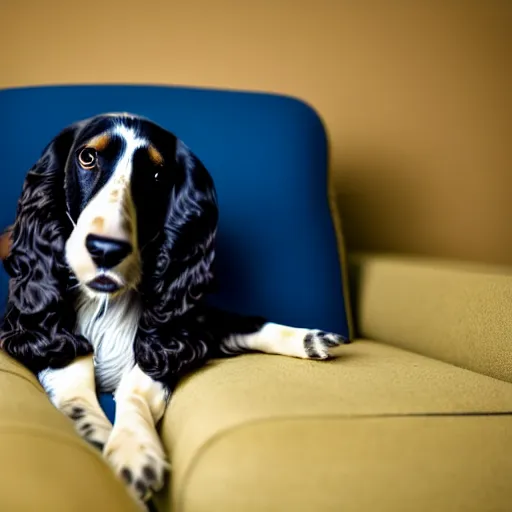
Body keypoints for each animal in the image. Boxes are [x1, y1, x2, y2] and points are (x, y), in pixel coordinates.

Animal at [0, 113, 348, 504]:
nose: (106, 249)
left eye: (156, 174)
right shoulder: (51, 341)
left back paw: (312, 340)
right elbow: (77, 389)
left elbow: (135, 387)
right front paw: (104, 441)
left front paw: (133, 450)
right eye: (87, 157)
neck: (107, 302)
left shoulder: (166, 342)